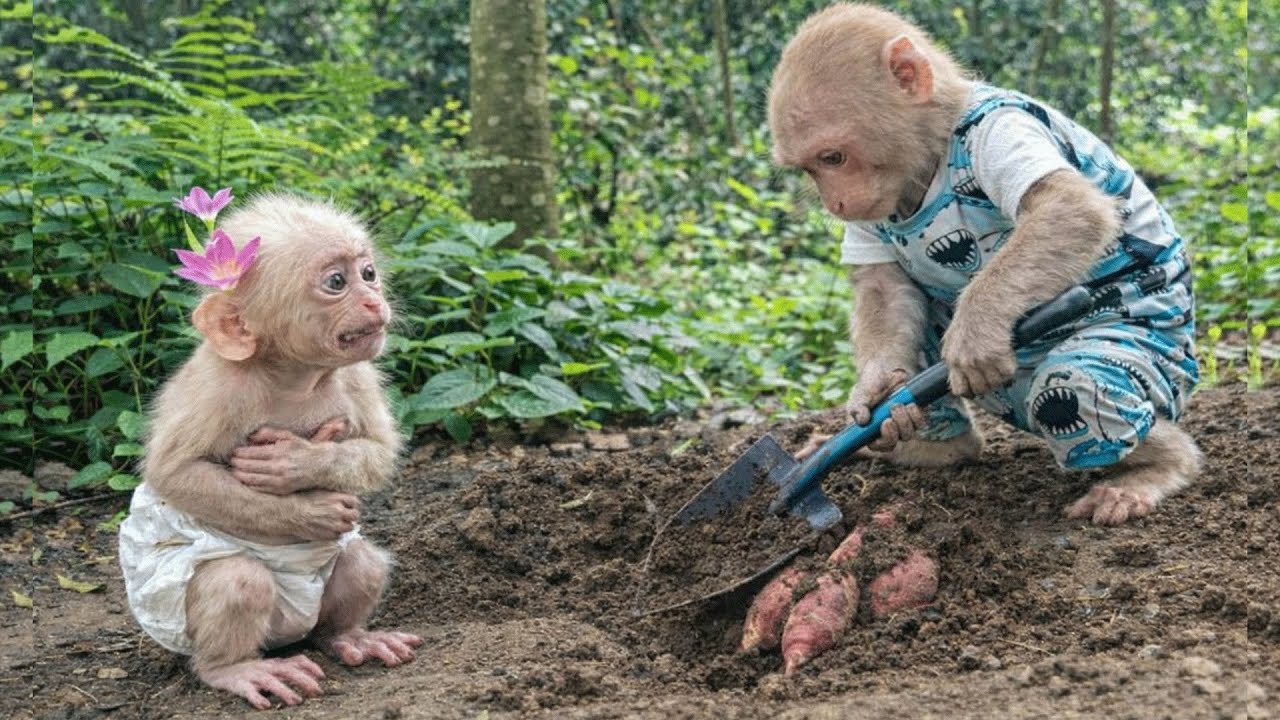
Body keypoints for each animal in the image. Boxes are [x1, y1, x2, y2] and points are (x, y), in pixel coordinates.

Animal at [117, 193, 423, 710]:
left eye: (368, 272)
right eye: (336, 282)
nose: (372, 299)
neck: (293, 374)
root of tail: (285, 637)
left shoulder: (356, 375)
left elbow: (378, 451)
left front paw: (299, 464)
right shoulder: (218, 388)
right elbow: (176, 472)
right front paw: (309, 511)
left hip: (316, 609)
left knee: (360, 564)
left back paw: (347, 637)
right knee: (236, 580)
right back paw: (235, 669)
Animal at [769, 3, 1201, 525]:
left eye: (834, 157)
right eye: (811, 168)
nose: (834, 204)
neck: (932, 161)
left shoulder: (1002, 129)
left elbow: (1072, 207)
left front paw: (973, 336)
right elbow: (883, 285)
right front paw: (875, 396)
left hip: (1155, 354)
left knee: (1078, 383)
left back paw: (1157, 469)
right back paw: (927, 443)